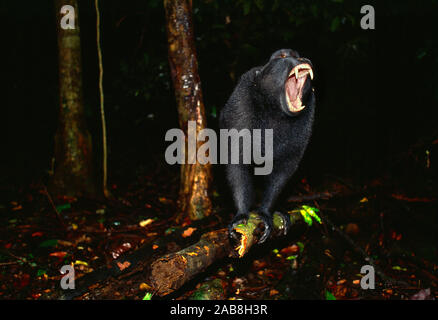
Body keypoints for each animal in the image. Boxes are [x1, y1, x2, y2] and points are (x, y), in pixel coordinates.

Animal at [219, 48, 314, 242]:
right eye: (283, 57)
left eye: (298, 55)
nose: (303, 58)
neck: (274, 110)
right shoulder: (241, 100)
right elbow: (237, 160)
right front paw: (241, 213)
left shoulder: (309, 112)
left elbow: (283, 168)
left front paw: (264, 211)